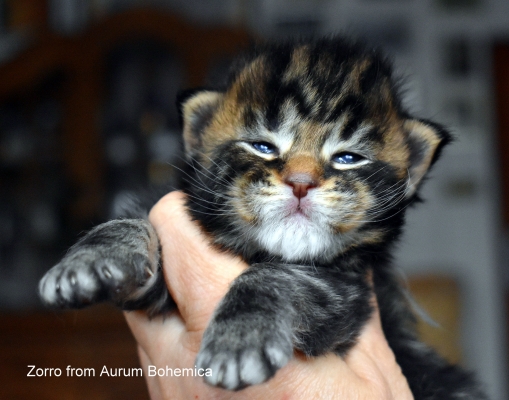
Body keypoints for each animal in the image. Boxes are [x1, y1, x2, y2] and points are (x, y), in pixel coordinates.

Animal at [38, 36, 484, 396]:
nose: (301, 182)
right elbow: (130, 221)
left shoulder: (347, 289)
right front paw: (90, 260)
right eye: (263, 146)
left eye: (348, 157)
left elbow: (277, 276)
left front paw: (239, 341)